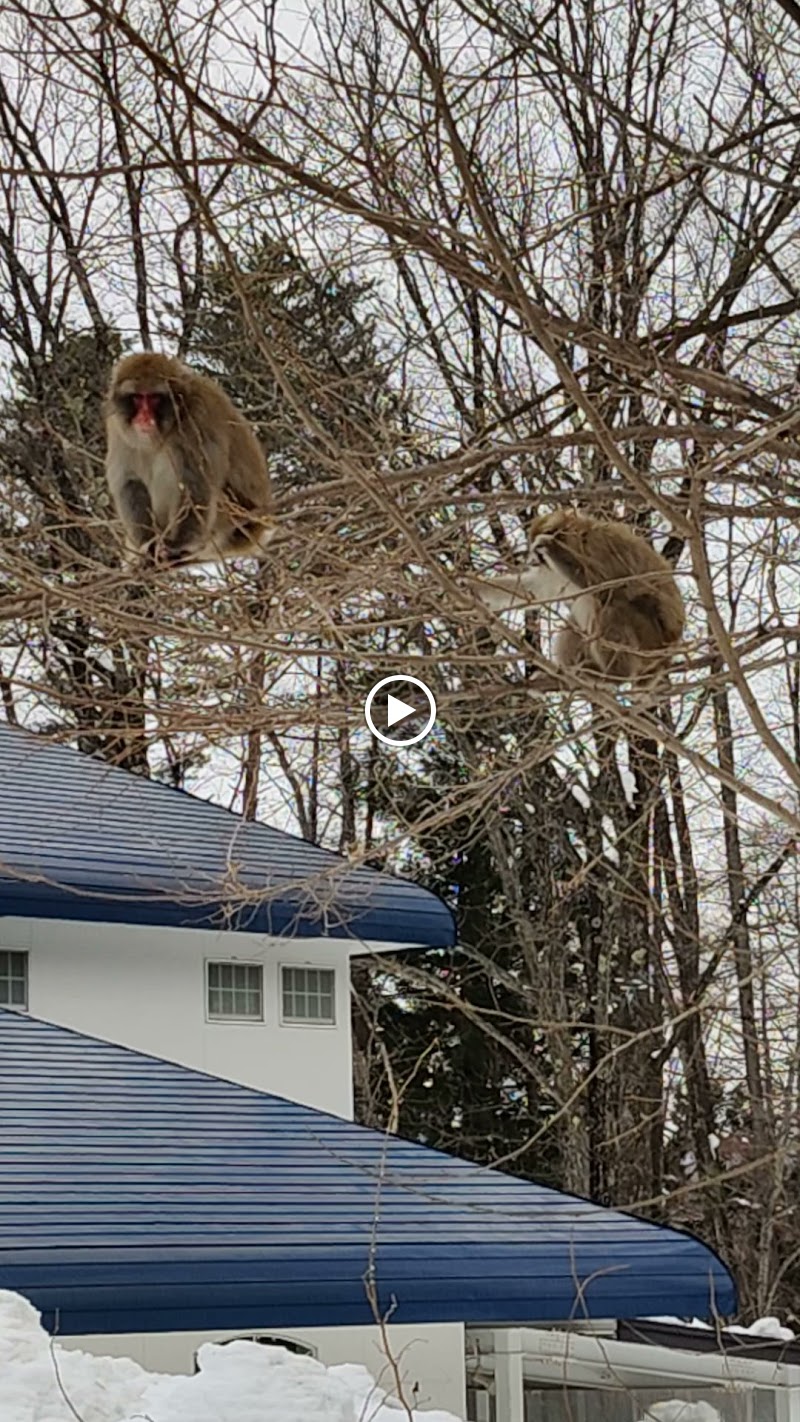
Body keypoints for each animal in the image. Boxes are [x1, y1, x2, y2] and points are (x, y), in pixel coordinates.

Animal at [105, 351, 277, 565]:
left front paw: (178, 544)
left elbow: (196, 484)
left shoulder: (197, 420)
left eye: (154, 398)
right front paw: (148, 544)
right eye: (137, 398)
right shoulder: (116, 427)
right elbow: (129, 482)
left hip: (231, 519)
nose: (144, 417)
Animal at [466, 511, 684, 688]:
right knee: (575, 624)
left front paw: (550, 545)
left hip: (649, 641)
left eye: (538, 554)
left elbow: (606, 584)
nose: (533, 560)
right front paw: (470, 585)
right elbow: (535, 590)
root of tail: (667, 654)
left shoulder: (597, 544)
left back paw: (613, 675)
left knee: (613, 606)